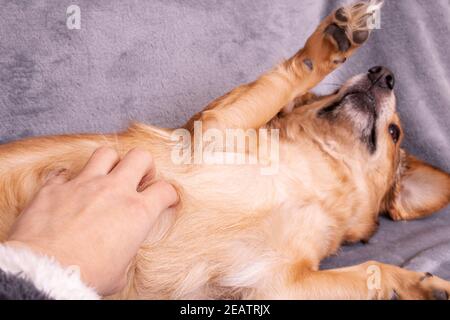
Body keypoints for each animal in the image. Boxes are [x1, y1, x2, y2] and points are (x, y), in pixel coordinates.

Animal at [0, 1, 450, 300]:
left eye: (394, 132)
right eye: (329, 92)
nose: (385, 73)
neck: (314, 177)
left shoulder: (280, 286)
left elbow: (371, 268)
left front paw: (420, 285)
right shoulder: (213, 130)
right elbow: (282, 81)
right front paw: (329, 43)